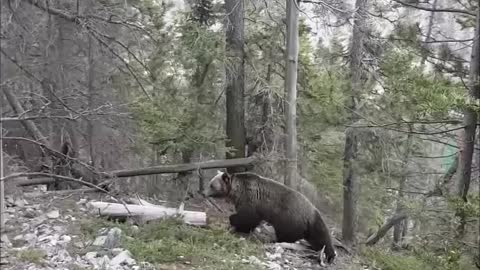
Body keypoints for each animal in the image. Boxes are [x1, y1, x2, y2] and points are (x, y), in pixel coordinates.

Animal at [206, 171, 338, 264]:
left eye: (212, 185)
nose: (204, 192)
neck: (236, 191)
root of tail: (312, 212)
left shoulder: (250, 199)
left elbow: (247, 217)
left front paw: (234, 222)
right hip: (309, 223)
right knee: (320, 237)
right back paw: (329, 254)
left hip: (288, 218)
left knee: (287, 234)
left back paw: (275, 240)